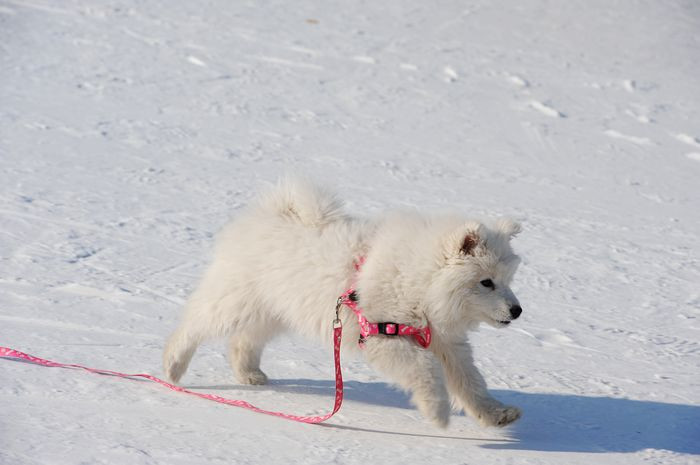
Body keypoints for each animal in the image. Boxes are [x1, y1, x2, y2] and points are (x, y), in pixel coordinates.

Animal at [164, 178, 524, 428]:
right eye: (486, 282)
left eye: (508, 280)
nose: (517, 311)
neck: (420, 282)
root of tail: (266, 214)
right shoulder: (384, 334)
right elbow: (425, 369)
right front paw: (438, 413)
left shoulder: (447, 342)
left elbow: (471, 382)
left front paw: (497, 414)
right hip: (237, 301)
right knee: (195, 323)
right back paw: (173, 366)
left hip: (276, 309)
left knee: (243, 341)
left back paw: (250, 374)